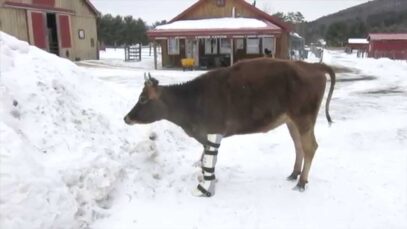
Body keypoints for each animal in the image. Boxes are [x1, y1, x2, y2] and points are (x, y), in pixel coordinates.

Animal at [126, 57, 336, 197]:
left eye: (142, 99)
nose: (126, 118)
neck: (192, 101)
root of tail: (312, 65)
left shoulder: (212, 130)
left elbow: (207, 159)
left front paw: (206, 185)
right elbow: (205, 158)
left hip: (304, 118)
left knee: (310, 147)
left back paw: (301, 182)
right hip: (291, 121)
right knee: (298, 145)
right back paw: (294, 174)